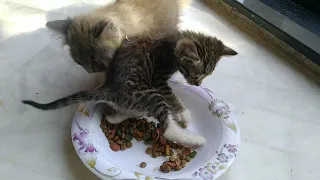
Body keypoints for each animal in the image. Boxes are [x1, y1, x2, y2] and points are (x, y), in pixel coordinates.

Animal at [21, 29, 238, 148]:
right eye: (197, 74)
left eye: (207, 75)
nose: (198, 84)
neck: (174, 40)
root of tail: (111, 89)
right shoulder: (158, 78)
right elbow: (170, 95)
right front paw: (182, 112)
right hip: (148, 92)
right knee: (166, 128)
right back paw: (193, 139)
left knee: (114, 116)